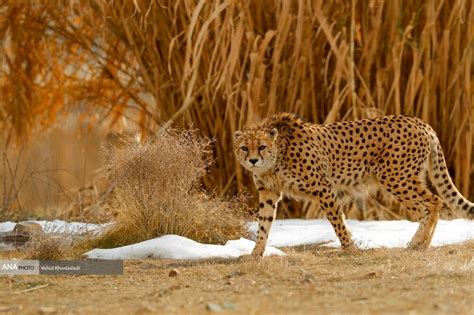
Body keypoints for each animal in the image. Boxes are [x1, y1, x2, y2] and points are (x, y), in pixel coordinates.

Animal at [234, 113, 474, 256]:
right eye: (244, 147)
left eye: (262, 147)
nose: (253, 160)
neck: (277, 156)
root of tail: (419, 121)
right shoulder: (269, 193)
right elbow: (264, 224)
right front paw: (256, 253)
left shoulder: (324, 188)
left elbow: (337, 221)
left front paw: (349, 248)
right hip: (404, 178)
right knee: (435, 202)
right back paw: (423, 244)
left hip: (396, 178)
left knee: (434, 202)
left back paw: (417, 242)